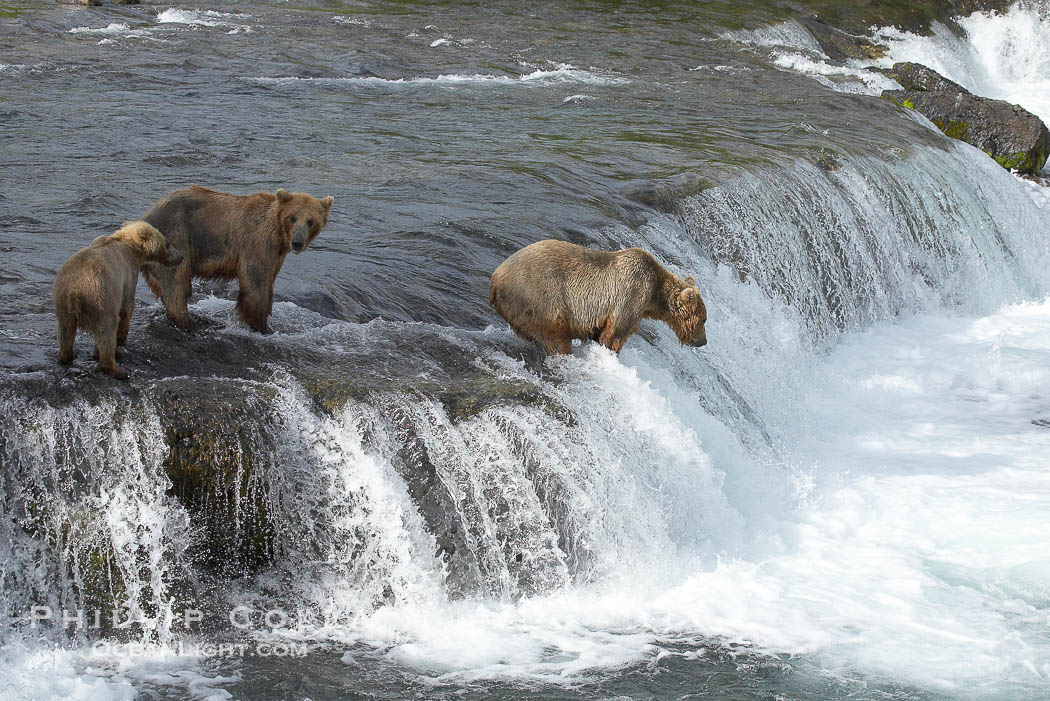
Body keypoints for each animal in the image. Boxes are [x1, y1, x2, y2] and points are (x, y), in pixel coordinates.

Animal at [53, 220, 184, 380]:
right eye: (168, 243)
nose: (181, 256)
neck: (132, 248)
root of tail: (75, 293)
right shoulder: (128, 273)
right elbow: (127, 306)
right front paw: (122, 338)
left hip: (63, 303)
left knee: (65, 332)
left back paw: (68, 355)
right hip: (101, 299)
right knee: (107, 330)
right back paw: (117, 369)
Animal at [140, 186, 334, 334]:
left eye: (311, 221)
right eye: (292, 217)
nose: (297, 242)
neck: (279, 235)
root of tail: (144, 217)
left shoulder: (276, 256)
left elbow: (268, 284)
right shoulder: (257, 244)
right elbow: (256, 286)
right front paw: (260, 326)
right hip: (174, 240)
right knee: (177, 283)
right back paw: (188, 323)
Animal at [489, 239, 707, 355]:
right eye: (703, 320)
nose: (703, 341)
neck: (655, 294)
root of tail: (495, 278)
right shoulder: (632, 293)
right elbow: (615, 333)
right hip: (539, 298)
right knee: (555, 337)